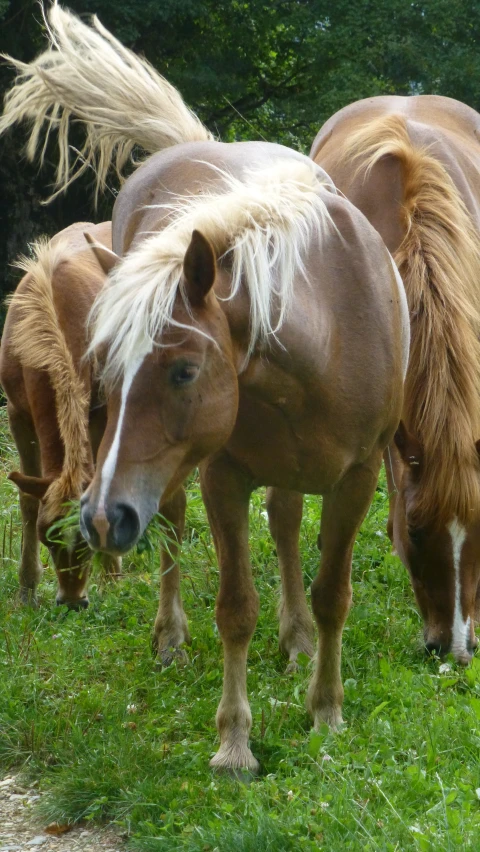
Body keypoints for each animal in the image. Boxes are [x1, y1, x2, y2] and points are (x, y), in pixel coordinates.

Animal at [0, 223, 191, 664]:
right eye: (46, 537)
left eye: (84, 541)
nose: (73, 601)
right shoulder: (16, 412)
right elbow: (28, 500)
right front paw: (26, 588)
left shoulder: (103, 410)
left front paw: (112, 576)